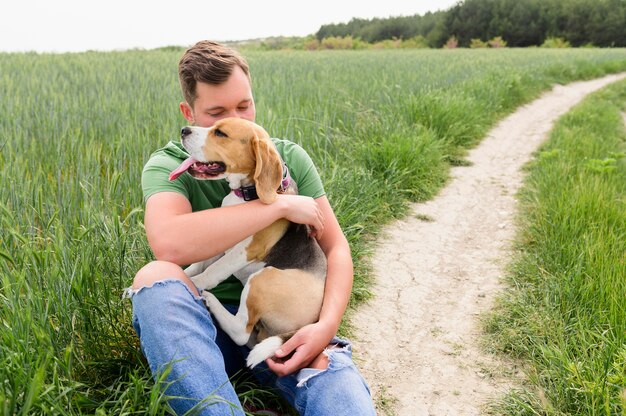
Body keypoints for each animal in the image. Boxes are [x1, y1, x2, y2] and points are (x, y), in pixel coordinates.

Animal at [169, 117, 326, 368]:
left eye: (220, 133)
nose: (184, 130)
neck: (246, 195)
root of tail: (308, 325)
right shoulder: (223, 236)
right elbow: (203, 262)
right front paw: (186, 272)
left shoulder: (248, 248)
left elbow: (214, 269)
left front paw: (195, 282)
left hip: (262, 279)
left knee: (241, 332)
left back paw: (212, 301)